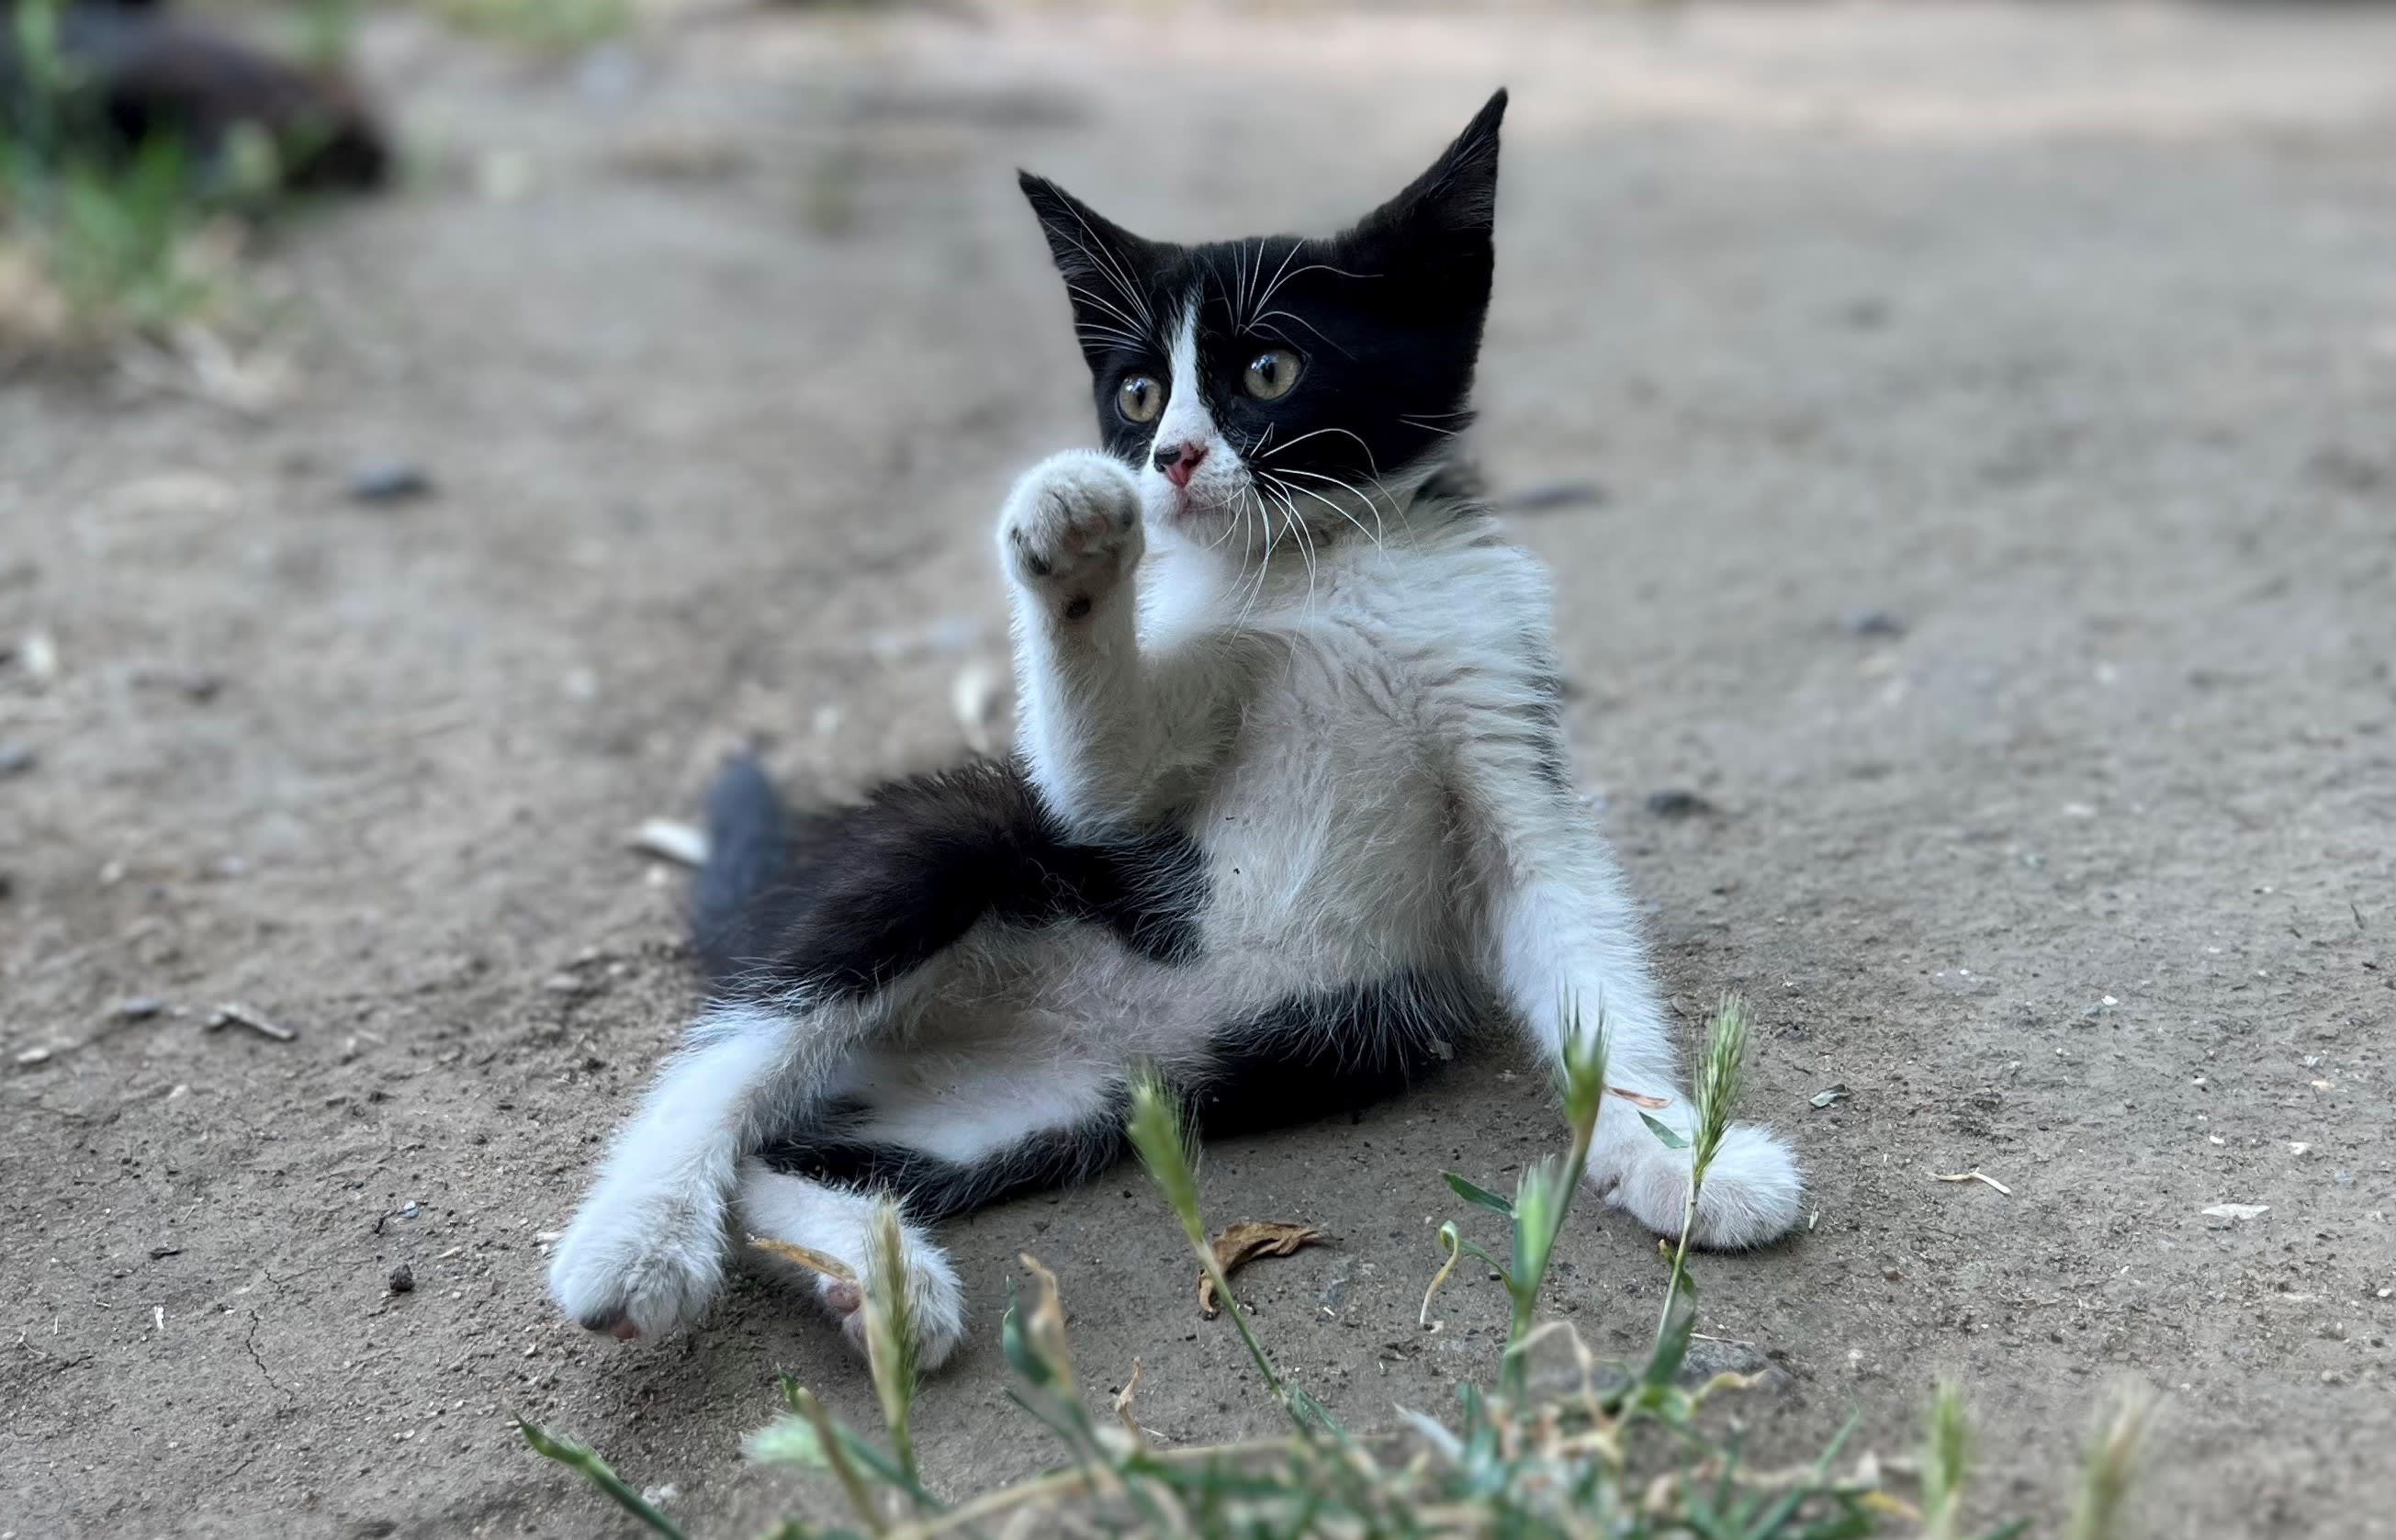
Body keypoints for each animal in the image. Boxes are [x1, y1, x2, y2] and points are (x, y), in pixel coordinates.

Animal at [551, 90, 1801, 1369]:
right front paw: (1070, 536)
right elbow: (1103, 777)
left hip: (1041, 1109)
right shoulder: (1124, 786)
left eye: (1269, 367)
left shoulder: (1501, 710)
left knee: (784, 1155)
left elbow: (1575, 938)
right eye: (1138, 396)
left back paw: (870, 1275)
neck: (1318, 567)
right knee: (733, 1051)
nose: (1173, 458)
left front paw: (1676, 1156)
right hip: (946, 847)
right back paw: (640, 1241)